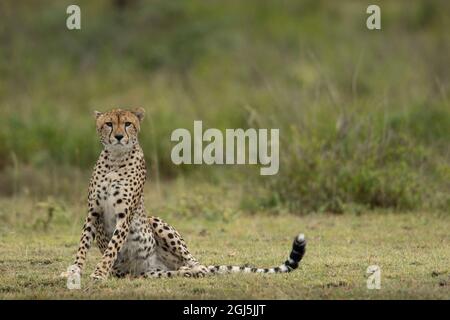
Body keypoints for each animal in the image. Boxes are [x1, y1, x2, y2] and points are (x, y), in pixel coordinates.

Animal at [61, 108, 306, 280]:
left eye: (128, 123)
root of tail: (148, 267)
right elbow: (83, 244)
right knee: (179, 271)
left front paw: (99, 272)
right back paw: (186, 273)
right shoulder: (93, 212)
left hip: (156, 222)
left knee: (198, 263)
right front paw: (74, 271)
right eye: (109, 124)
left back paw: (197, 270)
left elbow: (112, 248)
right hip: (154, 272)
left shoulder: (125, 215)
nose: (119, 136)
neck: (115, 159)